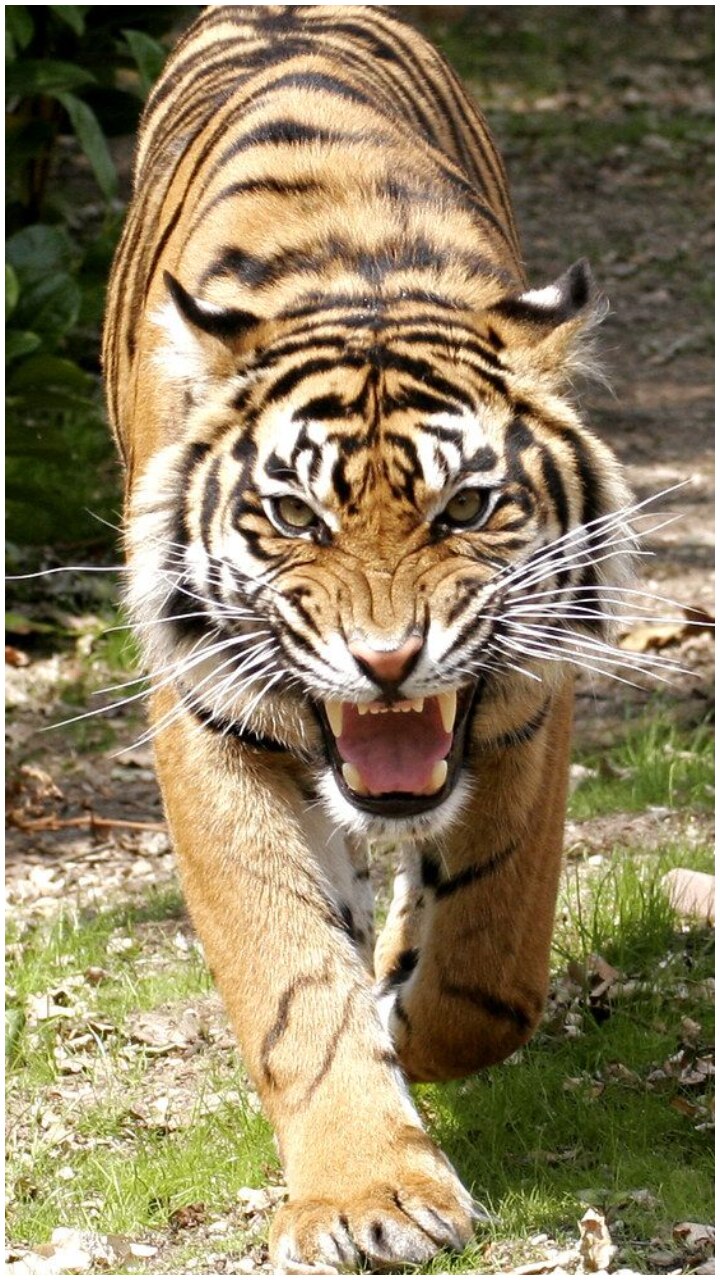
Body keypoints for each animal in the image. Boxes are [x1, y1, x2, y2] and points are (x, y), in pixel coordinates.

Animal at [103, 5, 634, 1271]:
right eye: (298, 516)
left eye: (468, 506)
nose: (388, 661)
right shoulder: (205, 713)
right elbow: (293, 977)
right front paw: (364, 1192)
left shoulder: (530, 693)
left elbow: (490, 959)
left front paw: (411, 1005)